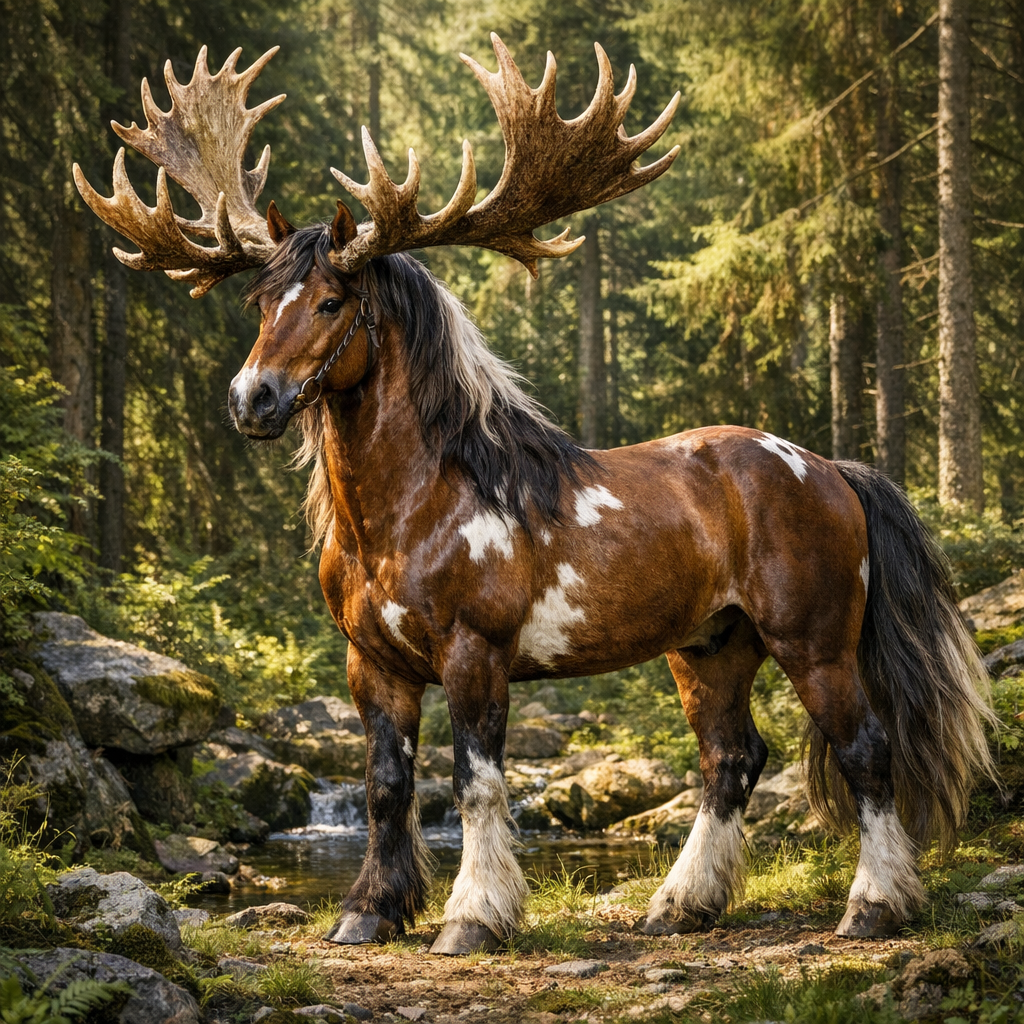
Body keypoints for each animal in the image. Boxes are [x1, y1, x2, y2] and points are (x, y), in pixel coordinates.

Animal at [74, 38, 997, 957]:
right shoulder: (372, 665)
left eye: (333, 301)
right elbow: (385, 786)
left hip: (813, 642)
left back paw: (873, 905)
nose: (252, 400)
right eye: (261, 300)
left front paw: (472, 916)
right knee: (729, 760)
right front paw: (370, 911)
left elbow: (476, 784)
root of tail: (830, 469)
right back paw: (681, 904)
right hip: (710, 647)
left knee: (865, 749)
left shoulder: (475, 654)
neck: (407, 513)